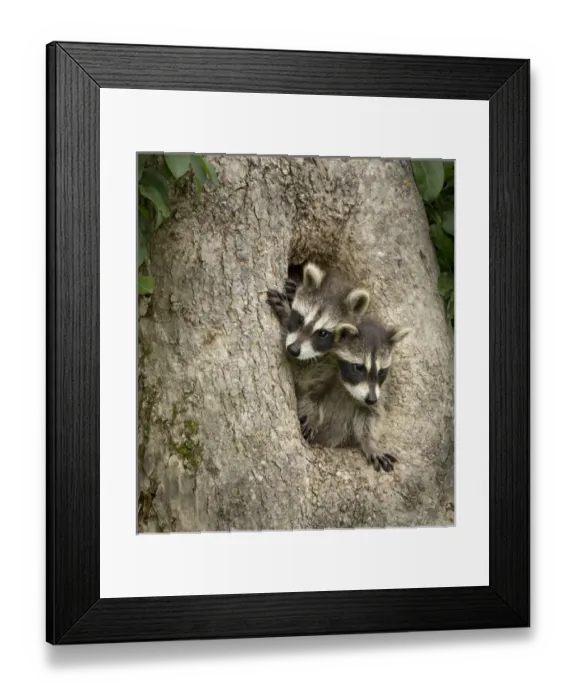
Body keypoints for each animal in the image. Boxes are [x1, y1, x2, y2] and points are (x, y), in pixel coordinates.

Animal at [297, 317, 411, 472]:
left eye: (381, 371)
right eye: (358, 368)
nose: (371, 399)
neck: (346, 387)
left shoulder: (378, 392)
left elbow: (370, 414)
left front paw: (370, 443)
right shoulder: (321, 369)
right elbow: (308, 395)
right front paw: (312, 417)